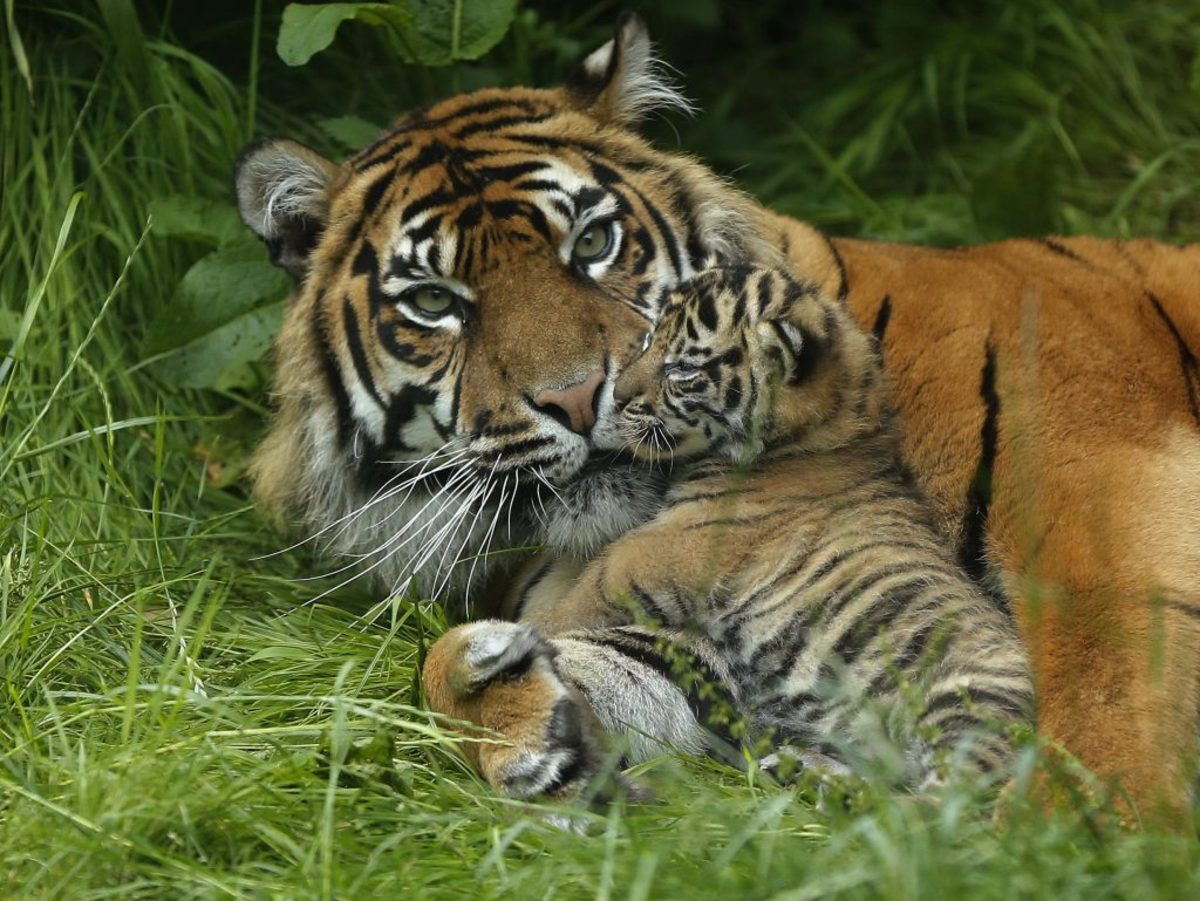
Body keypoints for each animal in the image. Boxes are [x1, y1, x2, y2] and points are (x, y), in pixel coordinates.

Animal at [236, 12, 1200, 825]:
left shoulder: (1097, 486)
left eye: (593, 244)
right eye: (435, 302)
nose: (580, 396)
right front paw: (531, 721)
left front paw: (1081, 841)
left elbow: (1108, 691)